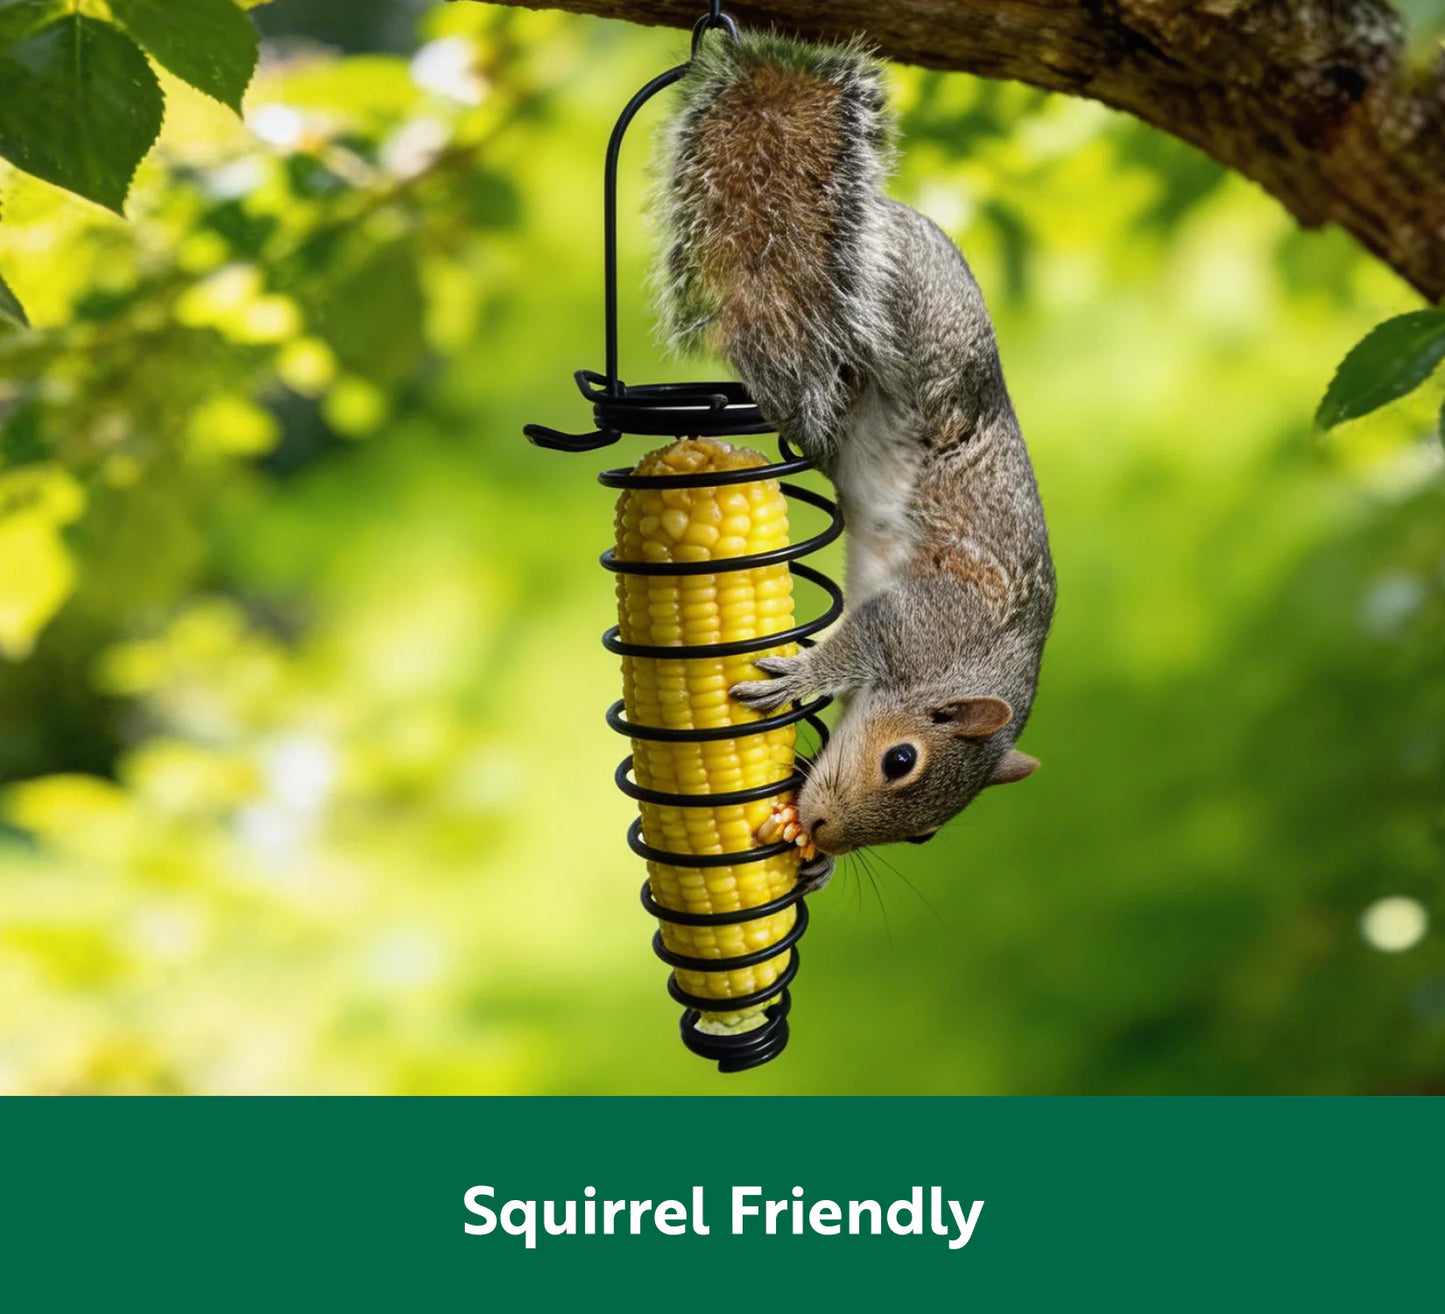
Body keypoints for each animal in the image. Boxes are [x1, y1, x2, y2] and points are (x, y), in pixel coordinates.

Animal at [654, 31, 1056, 886]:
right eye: (899, 760)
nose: (824, 832)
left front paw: (816, 867)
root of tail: (890, 215)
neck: (965, 666)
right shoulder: (919, 620)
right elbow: (860, 636)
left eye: (925, 835)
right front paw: (803, 674)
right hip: (914, 331)